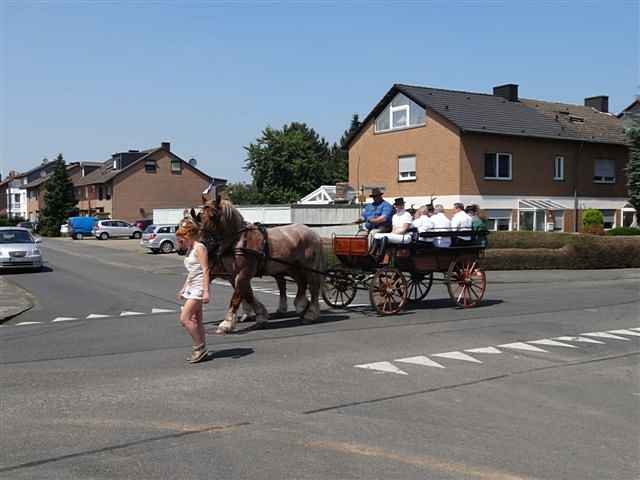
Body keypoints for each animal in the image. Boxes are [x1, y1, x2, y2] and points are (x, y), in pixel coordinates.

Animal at [195, 195, 324, 334]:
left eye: (213, 216)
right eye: (200, 216)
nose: (203, 242)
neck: (239, 240)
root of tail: (313, 232)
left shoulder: (244, 272)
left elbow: (236, 297)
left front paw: (227, 324)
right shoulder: (234, 275)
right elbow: (248, 294)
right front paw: (261, 316)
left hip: (309, 267)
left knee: (313, 286)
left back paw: (311, 314)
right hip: (292, 267)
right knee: (300, 282)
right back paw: (301, 305)